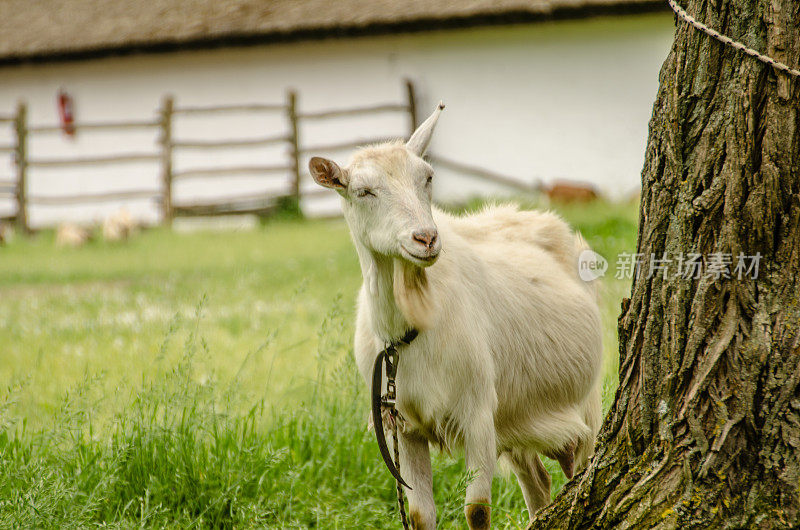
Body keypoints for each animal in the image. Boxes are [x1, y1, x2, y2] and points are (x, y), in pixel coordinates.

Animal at [310, 105, 604, 524]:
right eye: (363, 191)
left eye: (428, 177)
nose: (426, 238)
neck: (411, 324)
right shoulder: (404, 427)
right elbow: (420, 515)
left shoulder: (478, 415)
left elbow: (476, 510)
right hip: (517, 417)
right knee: (538, 481)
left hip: (582, 406)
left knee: (578, 465)